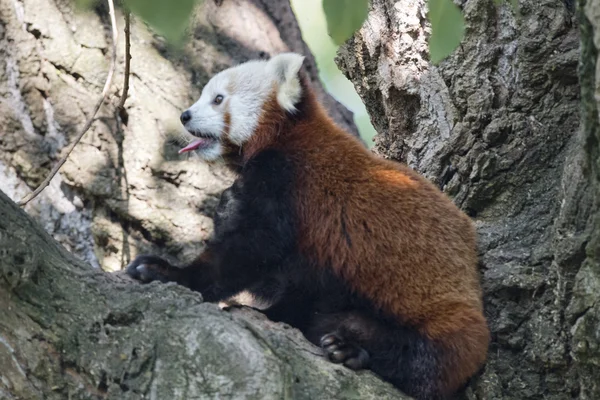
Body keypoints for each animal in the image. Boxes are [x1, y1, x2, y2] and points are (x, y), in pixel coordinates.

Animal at [126, 53, 488, 400]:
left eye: (217, 99)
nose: (185, 116)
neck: (287, 137)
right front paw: (225, 206)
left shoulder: (285, 180)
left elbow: (252, 248)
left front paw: (169, 273)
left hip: (443, 317)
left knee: (420, 359)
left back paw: (352, 351)